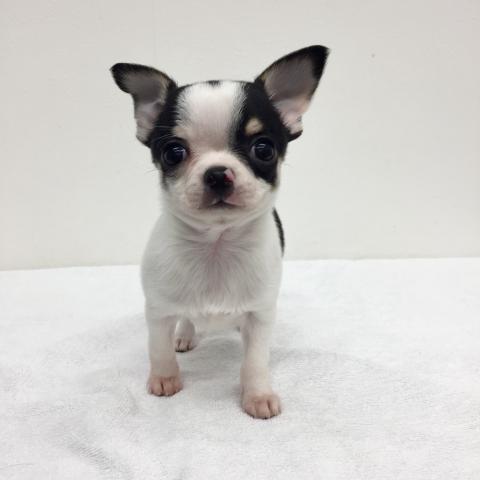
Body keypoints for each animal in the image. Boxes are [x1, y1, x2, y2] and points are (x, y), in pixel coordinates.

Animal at [110, 46, 329, 419]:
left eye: (263, 149)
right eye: (173, 153)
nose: (217, 174)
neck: (216, 244)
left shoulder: (260, 315)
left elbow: (255, 361)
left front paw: (257, 395)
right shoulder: (158, 310)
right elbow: (158, 348)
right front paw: (165, 378)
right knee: (184, 321)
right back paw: (185, 335)